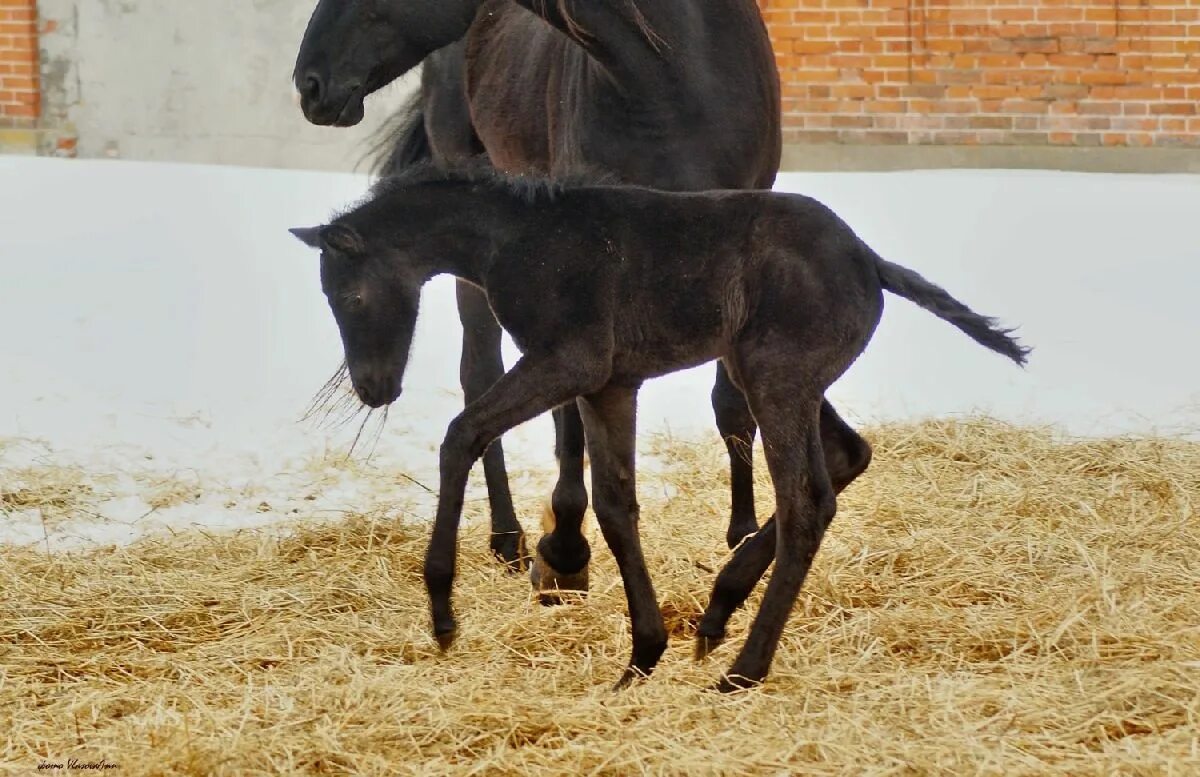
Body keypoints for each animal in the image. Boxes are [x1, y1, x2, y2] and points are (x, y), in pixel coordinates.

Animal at [285, 166, 1027, 690]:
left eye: (351, 295)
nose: (374, 388)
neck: (515, 237)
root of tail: (868, 259)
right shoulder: (610, 382)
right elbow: (616, 505)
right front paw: (643, 655)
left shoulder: (569, 361)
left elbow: (461, 434)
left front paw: (442, 610)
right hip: (772, 373)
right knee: (847, 456)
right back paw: (719, 609)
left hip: (775, 378)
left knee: (806, 502)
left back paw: (743, 670)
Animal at [292, 0, 873, 601]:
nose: (310, 83)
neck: (669, 81)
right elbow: (570, 420)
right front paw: (565, 552)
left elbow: (732, 404)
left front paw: (743, 531)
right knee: (481, 376)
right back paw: (509, 537)